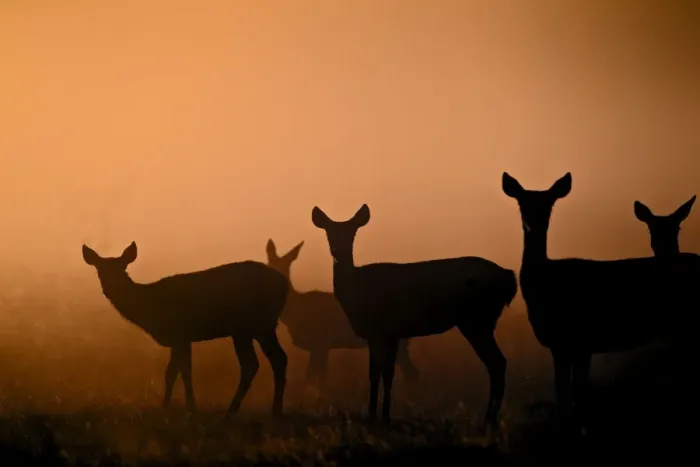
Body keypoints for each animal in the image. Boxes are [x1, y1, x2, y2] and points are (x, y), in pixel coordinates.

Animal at [82, 242, 290, 417]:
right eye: (99, 271)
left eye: (122, 269)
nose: (110, 288)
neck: (149, 308)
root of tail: (284, 285)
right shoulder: (180, 338)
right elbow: (175, 372)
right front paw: (173, 406)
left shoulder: (181, 333)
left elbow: (179, 371)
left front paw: (184, 407)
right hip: (263, 326)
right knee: (278, 358)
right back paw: (275, 410)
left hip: (245, 326)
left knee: (251, 363)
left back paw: (233, 410)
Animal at [265, 239, 419, 388]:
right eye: (269, 263)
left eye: (286, 266)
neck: (296, 313)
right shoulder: (317, 346)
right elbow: (313, 377)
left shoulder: (322, 341)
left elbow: (320, 378)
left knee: (412, 372)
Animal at [311, 204, 517, 428]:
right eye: (328, 233)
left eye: (352, 234)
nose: (337, 252)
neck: (356, 292)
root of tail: (509, 278)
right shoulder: (378, 335)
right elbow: (375, 374)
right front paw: (375, 414)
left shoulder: (387, 330)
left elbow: (387, 373)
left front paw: (382, 416)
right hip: (480, 321)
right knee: (498, 363)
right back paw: (490, 419)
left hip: (477, 320)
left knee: (497, 362)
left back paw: (489, 420)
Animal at [502, 172, 698, 426]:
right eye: (521, 204)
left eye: (550, 205)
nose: (531, 224)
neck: (543, 284)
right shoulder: (575, 346)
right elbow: (573, 392)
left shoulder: (570, 341)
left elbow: (569, 394)